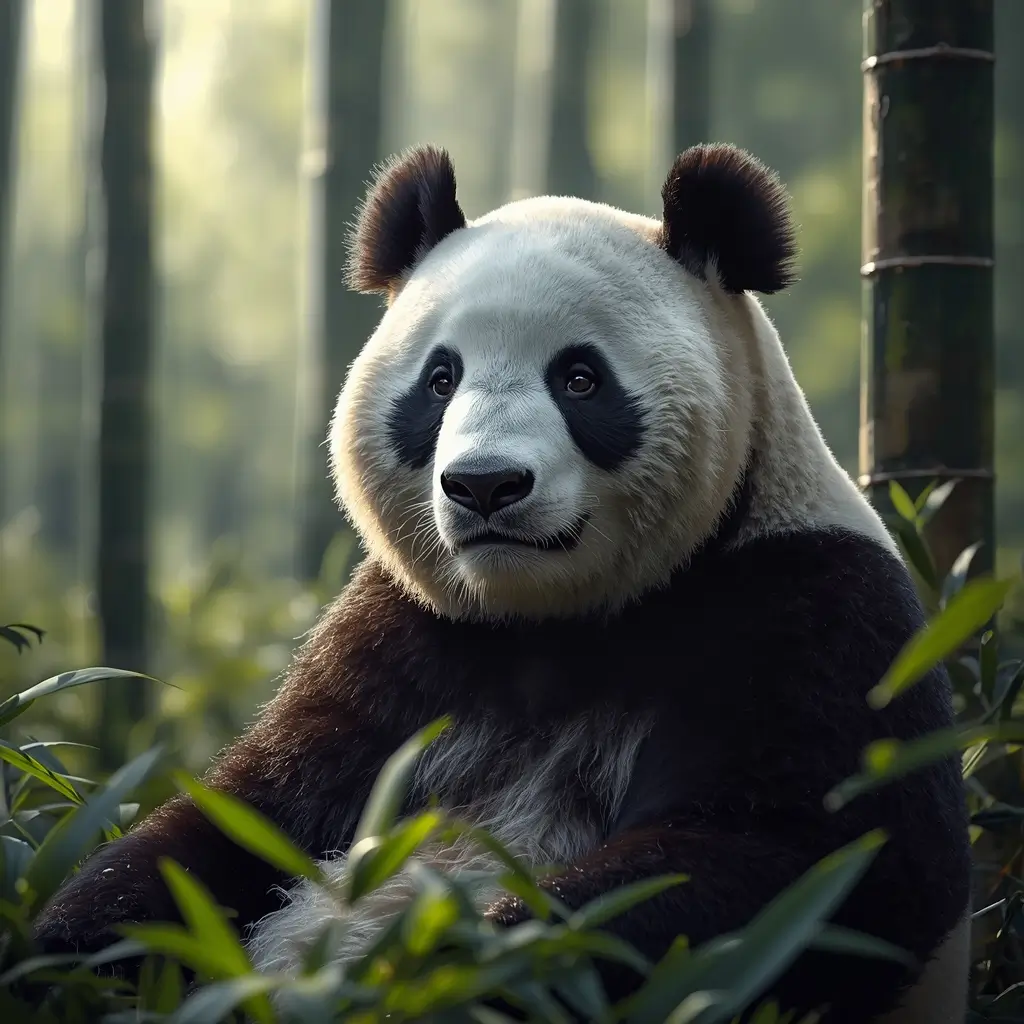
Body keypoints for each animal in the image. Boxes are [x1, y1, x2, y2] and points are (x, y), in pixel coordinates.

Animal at [35, 143, 971, 1022]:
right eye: (440, 379)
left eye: (581, 378)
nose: (485, 485)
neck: (554, 620)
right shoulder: (403, 642)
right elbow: (238, 822)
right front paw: (67, 954)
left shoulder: (813, 612)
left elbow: (804, 869)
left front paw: (429, 973)